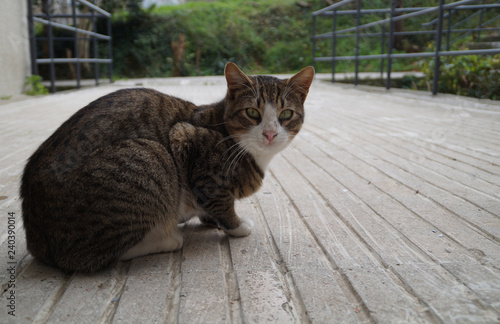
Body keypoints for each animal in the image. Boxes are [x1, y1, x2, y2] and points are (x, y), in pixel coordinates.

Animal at [22, 62, 316, 272]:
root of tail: (36, 239)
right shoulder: (187, 141)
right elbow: (221, 202)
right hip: (152, 159)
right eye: (252, 113)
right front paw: (236, 225)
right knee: (97, 256)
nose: (270, 133)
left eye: (286, 114)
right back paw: (166, 237)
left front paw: (210, 219)